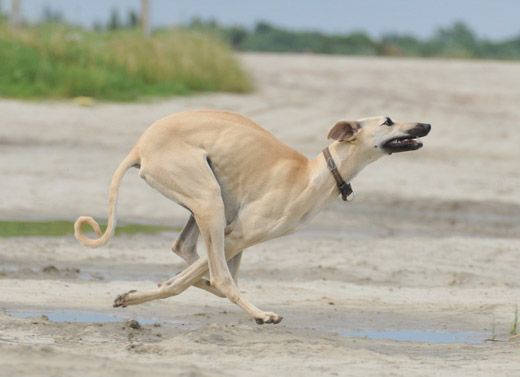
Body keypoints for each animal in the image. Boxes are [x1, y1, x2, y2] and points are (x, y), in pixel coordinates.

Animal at [74, 108, 430, 324]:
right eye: (388, 121)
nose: (426, 125)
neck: (314, 174)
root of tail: (140, 146)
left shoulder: (236, 239)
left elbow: (198, 274)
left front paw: (141, 291)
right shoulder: (237, 235)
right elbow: (206, 280)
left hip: (207, 207)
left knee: (185, 250)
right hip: (209, 202)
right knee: (217, 276)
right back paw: (260, 313)